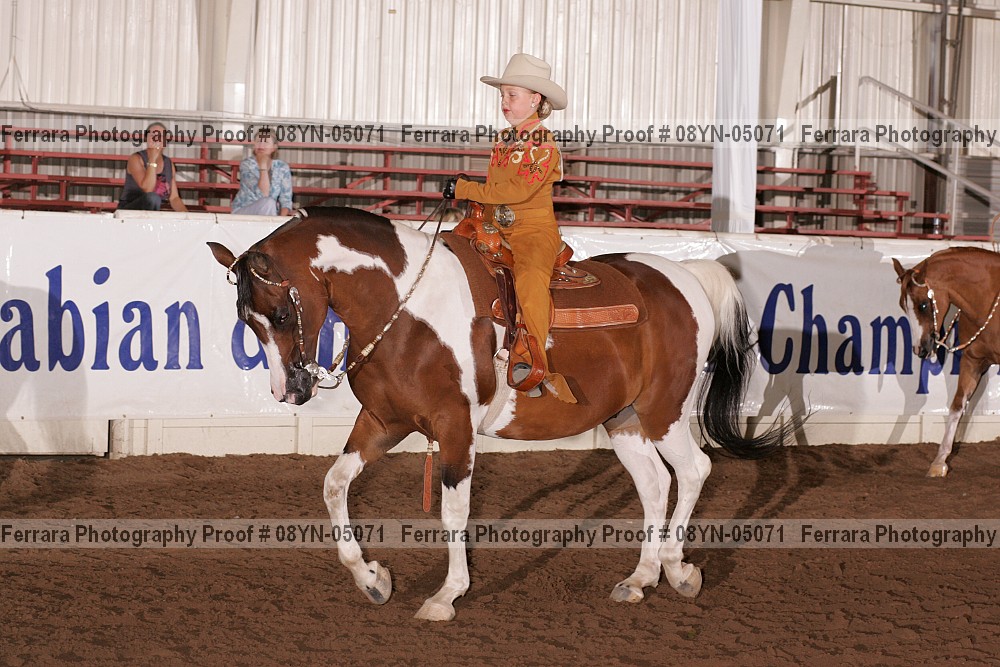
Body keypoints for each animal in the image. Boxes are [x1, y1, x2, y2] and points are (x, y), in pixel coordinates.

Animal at [208, 206, 790, 621]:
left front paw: (446, 595)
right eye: (248, 322)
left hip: (664, 410)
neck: (405, 307)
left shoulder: (454, 427)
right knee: (654, 484)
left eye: (281, 313)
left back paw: (677, 569)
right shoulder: (383, 422)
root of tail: (685, 275)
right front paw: (372, 579)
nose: (289, 391)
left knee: (694, 470)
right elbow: (334, 485)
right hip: (624, 419)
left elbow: (454, 511)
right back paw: (640, 578)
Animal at [893, 247, 1000, 477]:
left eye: (924, 305)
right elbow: (957, 405)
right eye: (902, 306)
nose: (919, 349)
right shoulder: (972, 362)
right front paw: (939, 461)